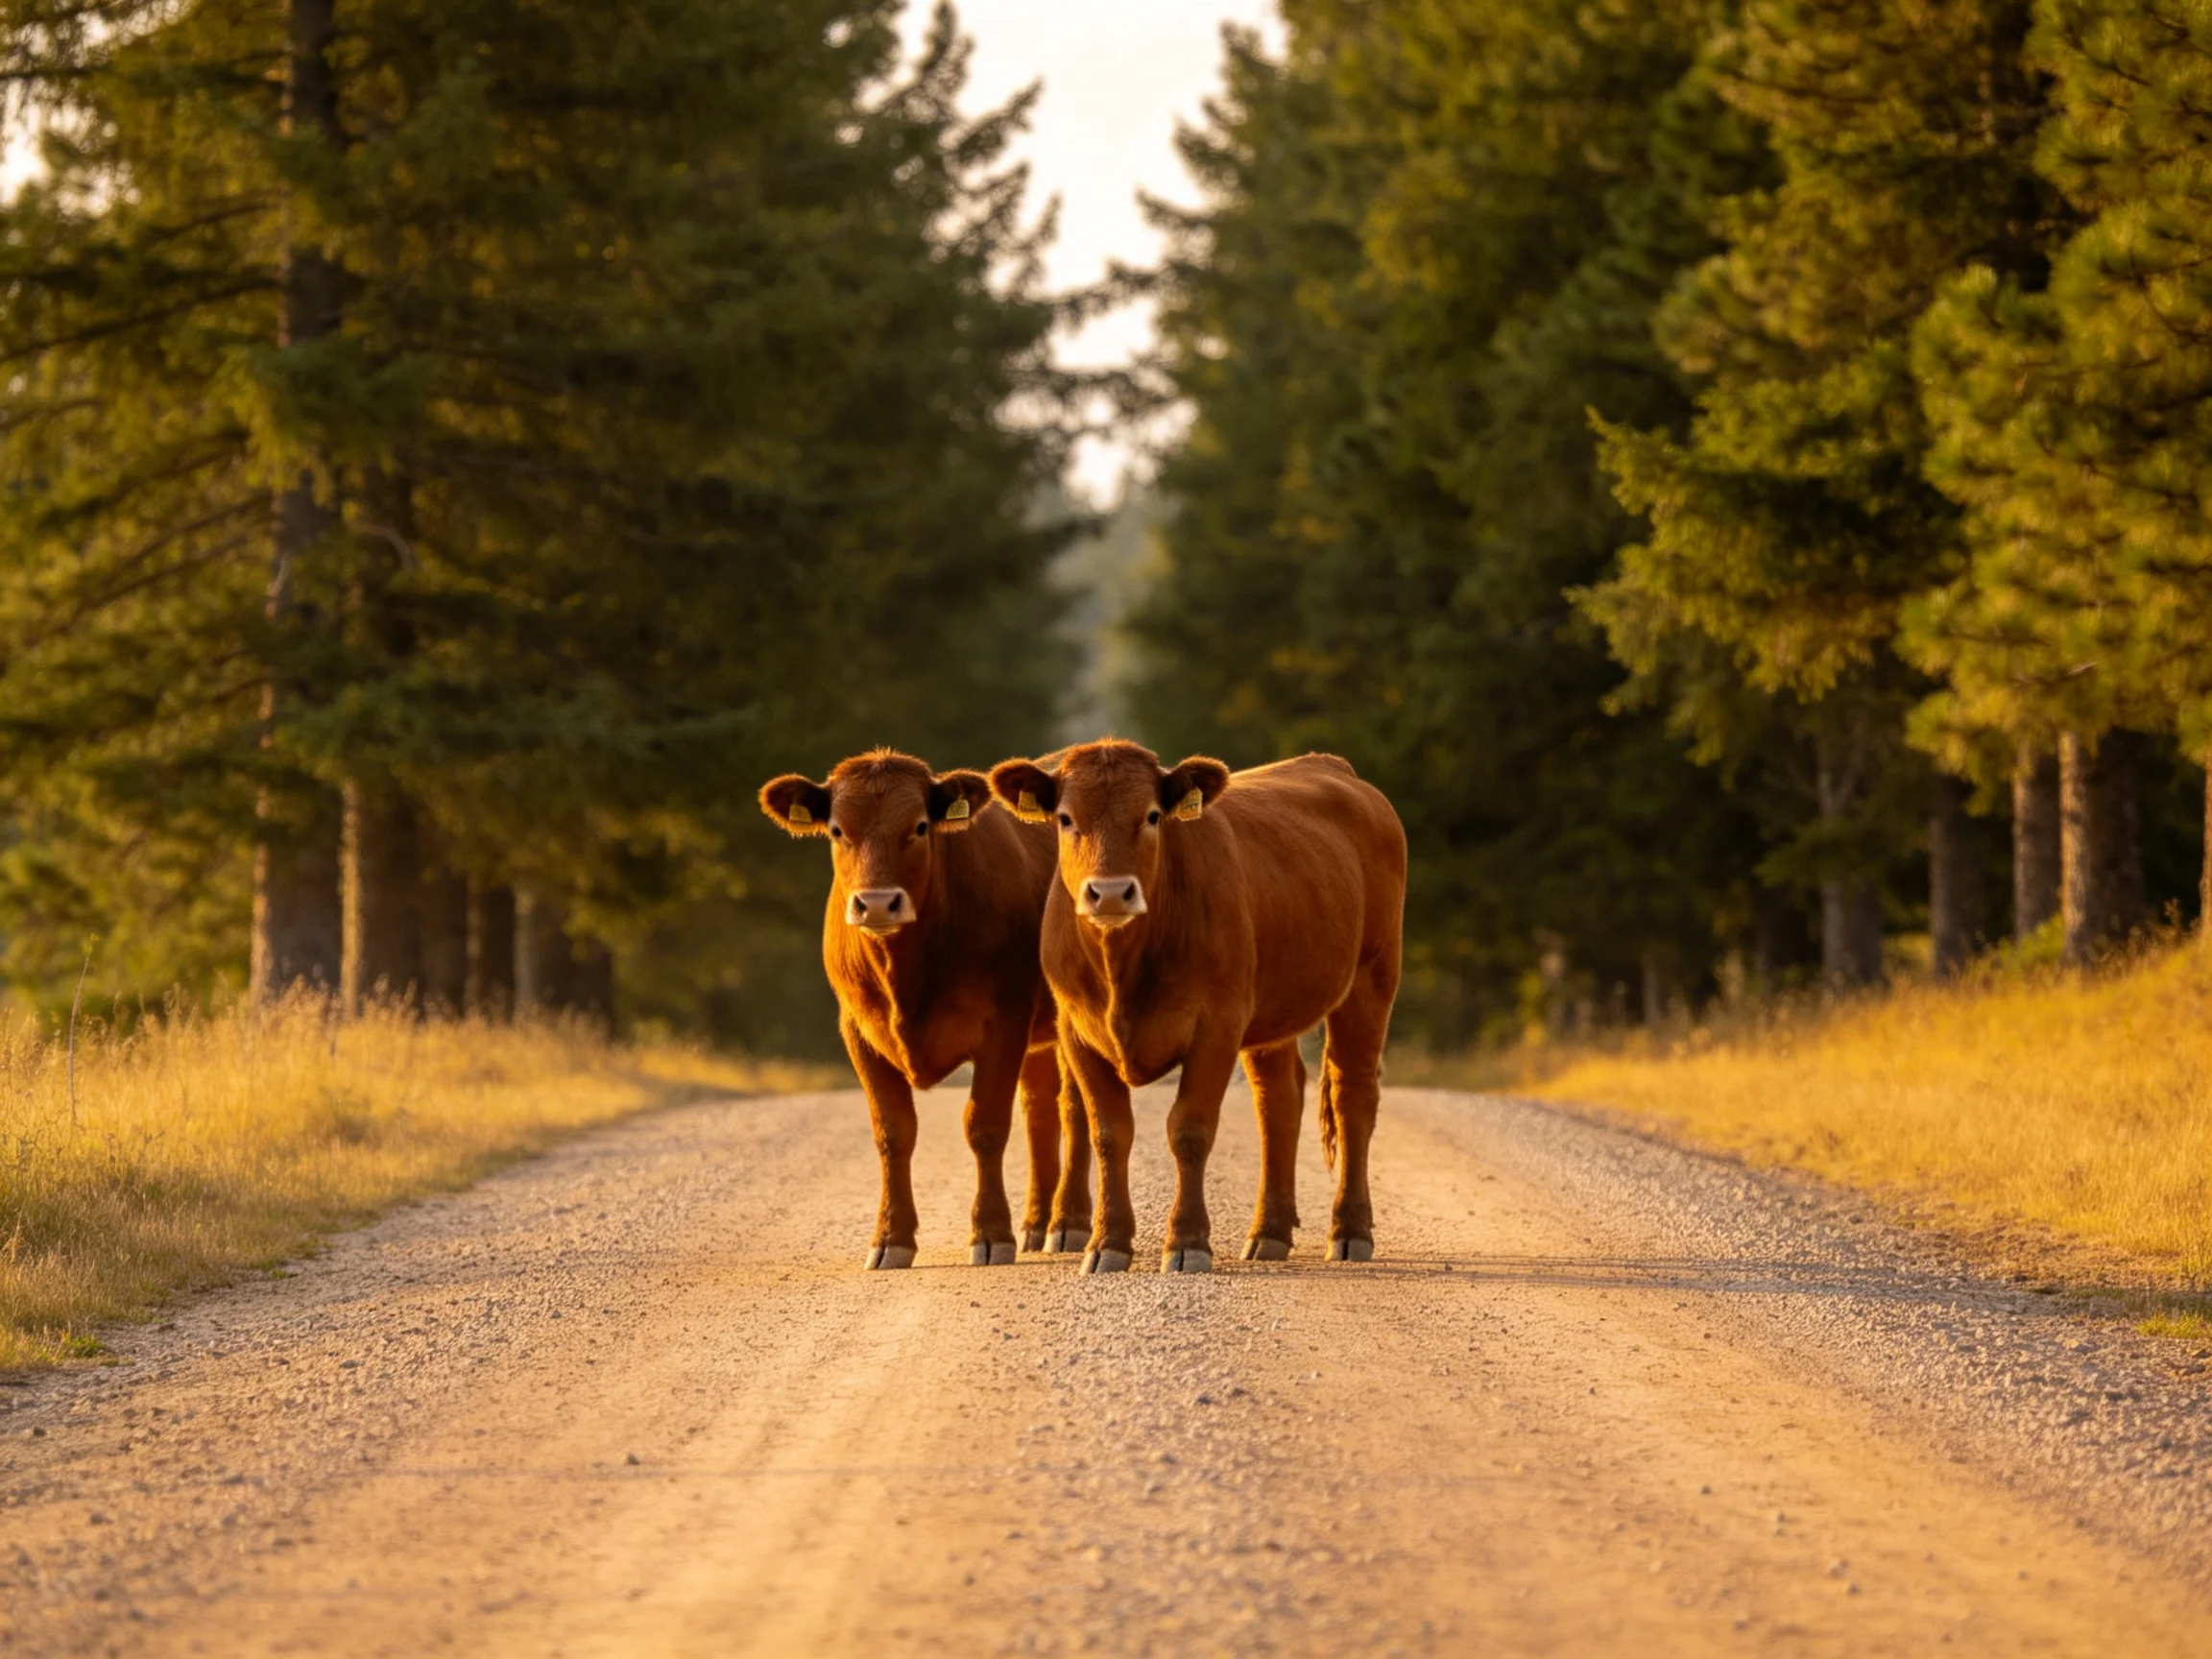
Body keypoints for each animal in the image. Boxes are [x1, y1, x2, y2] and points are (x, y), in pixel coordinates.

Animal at [759, 750, 1090, 1268]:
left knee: (1074, 1112)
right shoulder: (857, 1030)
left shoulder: (1004, 1023)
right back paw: (1037, 1223)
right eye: (837, 830)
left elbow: (985, 1126)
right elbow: (893, 1132)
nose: (877, 904)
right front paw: (890, 1238)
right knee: (1040, 1112)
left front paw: (990, 1234)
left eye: (918, 827)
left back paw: (1067, 1223)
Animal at [988, 741, 1405, 1275]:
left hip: (1372, 980)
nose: (1110, 892)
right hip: (1273, 1007)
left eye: (1151, 816)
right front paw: (1108, 1242)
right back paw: (1268, 1232)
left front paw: (1187, 1242)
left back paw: (1349, 1230)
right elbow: (1109, 1133)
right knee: (1279, 1100)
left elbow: (1188, 1129)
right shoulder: (1076, 1032)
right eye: (1064, 818)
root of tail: (1330, 765)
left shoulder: (1216, 1026)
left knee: (1353, 1097)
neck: (1122, 965)